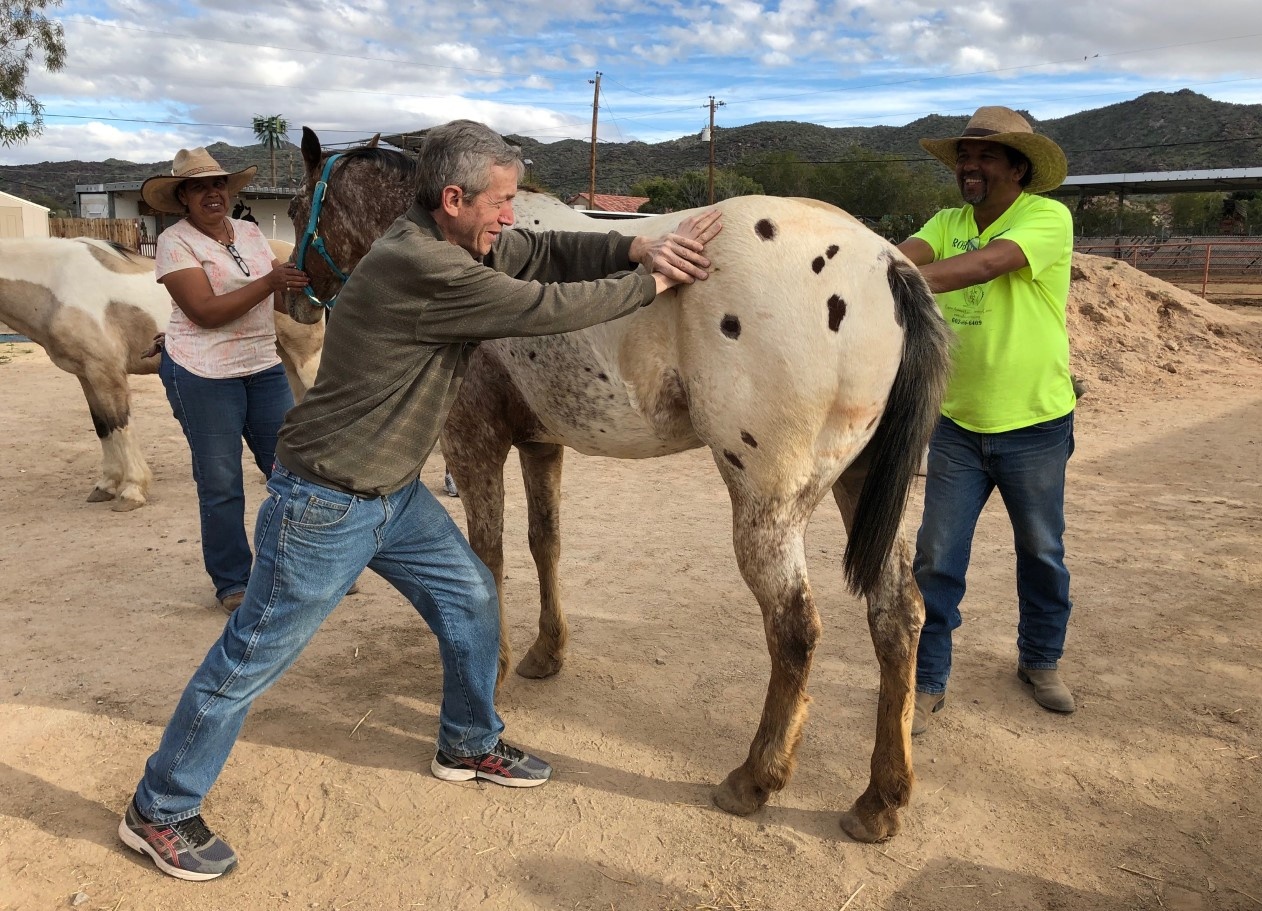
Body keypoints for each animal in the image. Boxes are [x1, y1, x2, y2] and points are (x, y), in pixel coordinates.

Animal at [0, 236, 323, 510]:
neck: (58, 285)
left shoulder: (106, 373)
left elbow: (120, 426)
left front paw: (132, 489)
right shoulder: (86, 376)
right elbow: (102, 426)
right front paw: (106, 485)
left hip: (305, 357)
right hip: (284, 358)